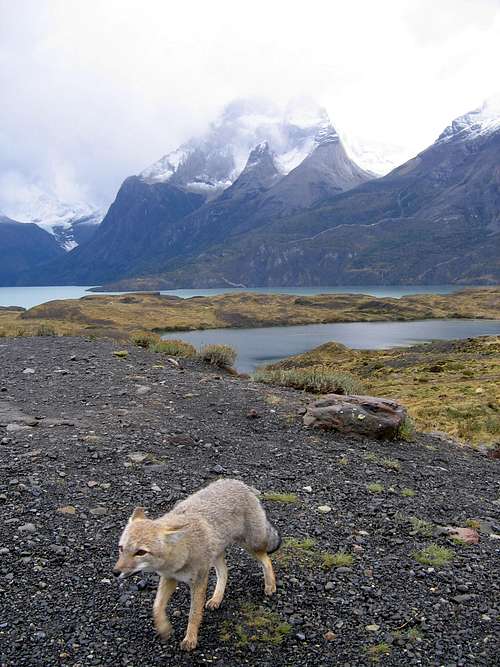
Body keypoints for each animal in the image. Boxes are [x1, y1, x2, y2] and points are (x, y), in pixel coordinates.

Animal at [113, 480, 282, 652]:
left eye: (140, 552)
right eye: (121, 548)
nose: (115, 572)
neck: (184, 549)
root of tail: (240, 483)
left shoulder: (199, 581)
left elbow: (193, 614)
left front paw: (190, 639)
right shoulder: (169, 578)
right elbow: (157, 606)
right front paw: (164, 628)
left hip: (250, 545)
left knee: (266, 560)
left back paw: (270, 586)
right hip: (216, 554)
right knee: (224, 572)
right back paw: (216, 598)